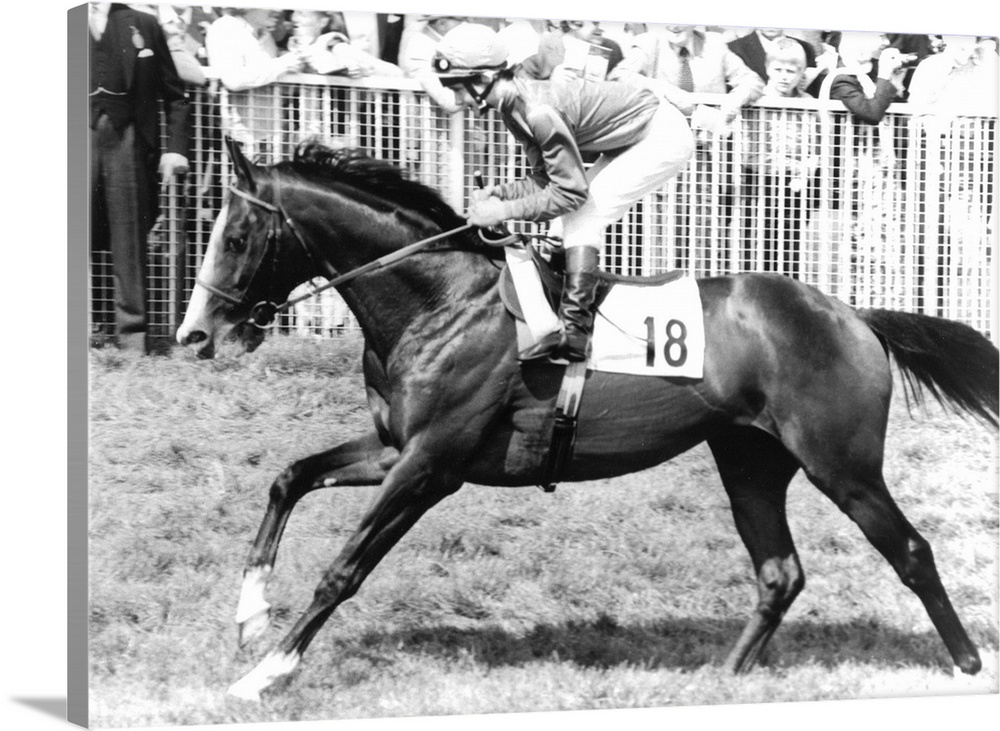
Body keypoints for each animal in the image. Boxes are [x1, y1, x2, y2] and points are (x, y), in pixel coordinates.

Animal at [176, 139, 996, 704]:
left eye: (237, 238)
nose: (194, 334)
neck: (439, 301)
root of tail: (853, 314)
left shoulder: (430, 465)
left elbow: (344, 567)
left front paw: (265, 673)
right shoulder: (394, 448)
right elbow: (289, 477)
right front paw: (250, 615)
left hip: (842, 464)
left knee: (911, 550)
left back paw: (965, 666)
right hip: (750, 462)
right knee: (779, 572)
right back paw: (722, 677)